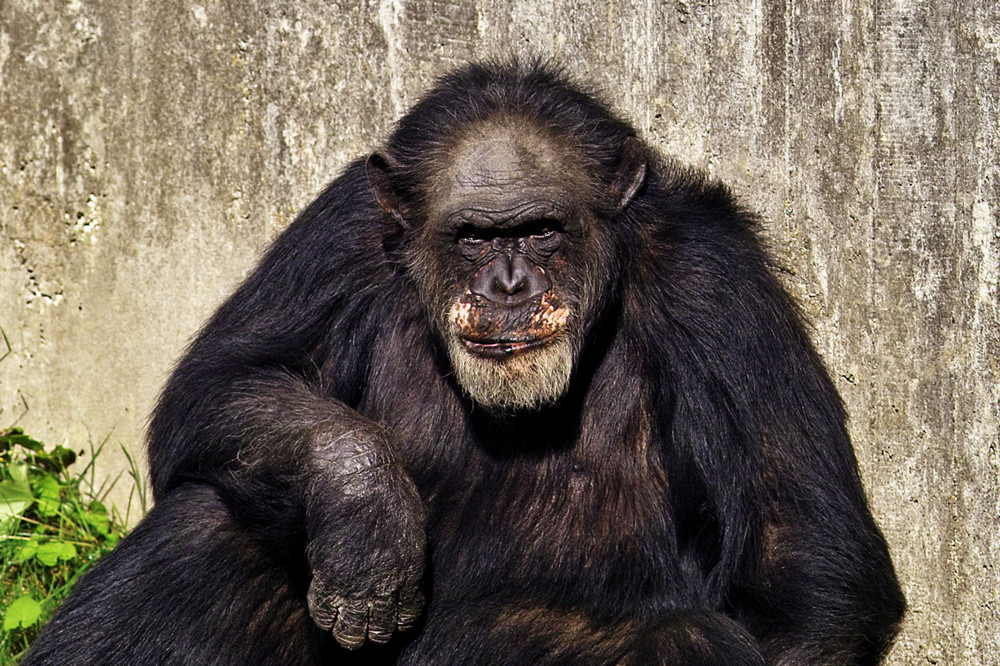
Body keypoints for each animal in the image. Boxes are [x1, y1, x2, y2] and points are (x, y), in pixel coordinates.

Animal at [23, 62, 904, 664]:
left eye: (542, 231)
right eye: (475, 236)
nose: (507, 285)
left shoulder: (717, 285)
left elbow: (802, 558)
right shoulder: (341, 230)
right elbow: (220, 383)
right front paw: (367, 508)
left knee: (686, 640)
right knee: (214, 522)